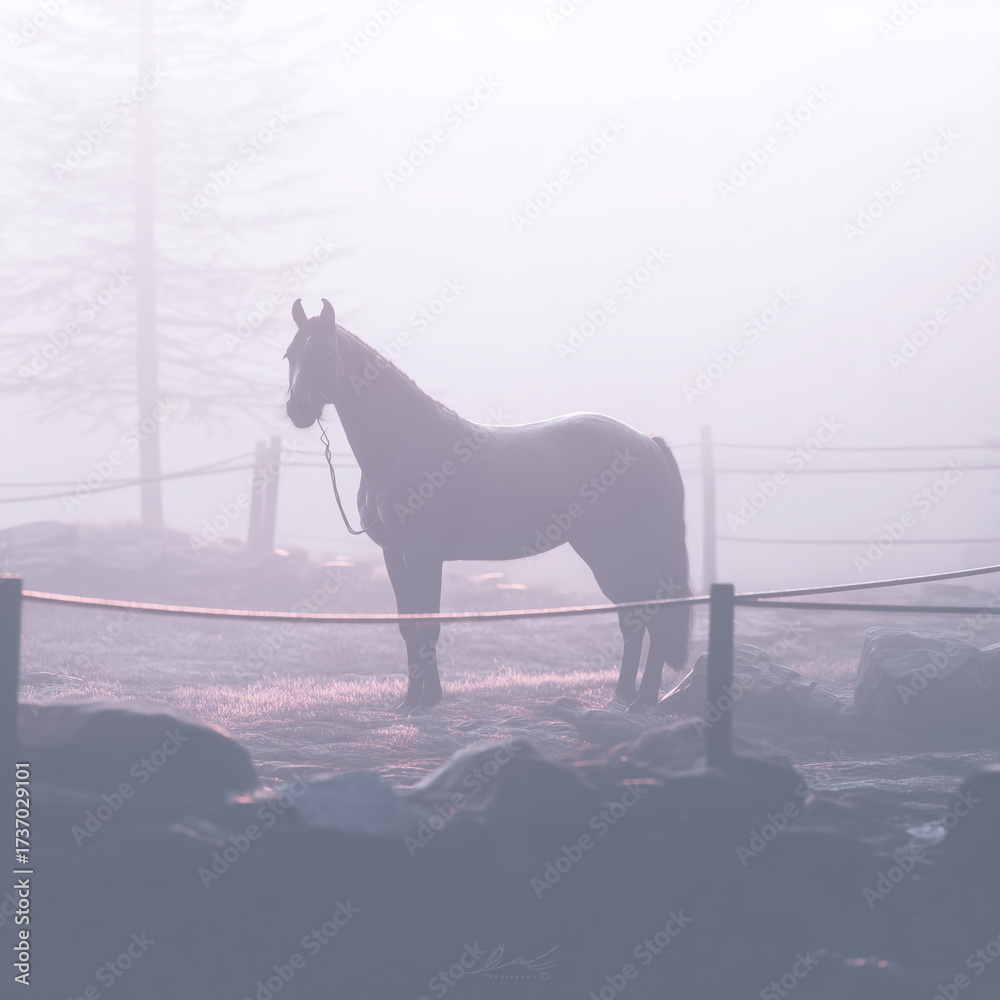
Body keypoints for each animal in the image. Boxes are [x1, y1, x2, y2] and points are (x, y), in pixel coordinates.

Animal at [284, 298, 690, 711]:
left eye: (328, 353)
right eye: (290, 355)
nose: (298, 409)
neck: (404, 444)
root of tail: (647, 441)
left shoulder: (423, 555)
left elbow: (428, 626)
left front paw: (428, 701)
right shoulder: (393, 554)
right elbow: (408, 627)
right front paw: (410, 702)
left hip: (622, 554)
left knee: (653, 613)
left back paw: (643, 701)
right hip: (609, 556)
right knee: (632, 617)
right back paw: (623, 696)